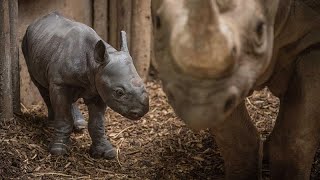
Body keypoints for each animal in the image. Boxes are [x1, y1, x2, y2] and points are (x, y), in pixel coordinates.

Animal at [21, 11, 149, 159]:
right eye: (119, 92)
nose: (143, 111)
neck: (95, 64)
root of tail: (37, 20)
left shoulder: (99, 88)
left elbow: (97, 123)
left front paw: (105, 151)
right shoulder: (60, 82)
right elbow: (63, 116)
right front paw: (58, 149)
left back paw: (79, 124)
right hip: (26, 45)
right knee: (43, 88)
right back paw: (52, 123)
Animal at [151, 0, 318, 179]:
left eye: (260, 29)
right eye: (158, 22)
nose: (197, 107)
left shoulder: (312, 43)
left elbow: (295, 138)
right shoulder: (227, 87)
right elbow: (236, 139)